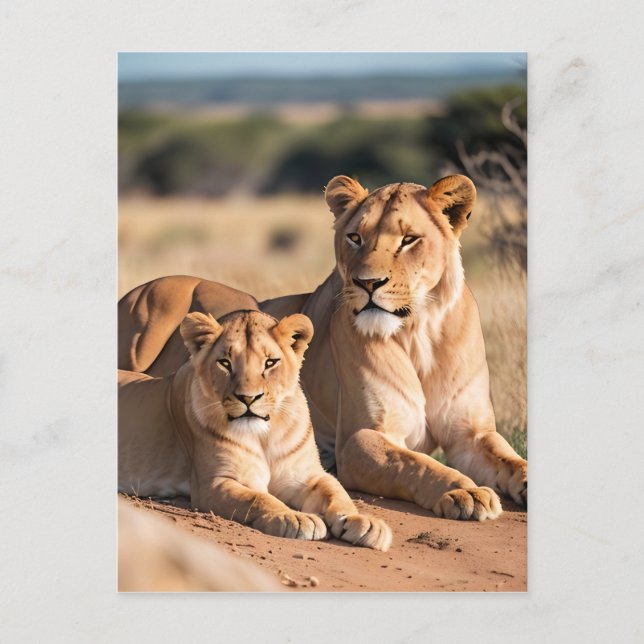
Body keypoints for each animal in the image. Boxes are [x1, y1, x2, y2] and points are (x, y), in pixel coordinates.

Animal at [118, 306, 392, 550]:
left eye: (270, 363)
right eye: (225, 363)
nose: (248, 398)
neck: (265, 435)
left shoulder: (308, 475)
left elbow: (337, 493)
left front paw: (365, 522)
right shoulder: (214, 483)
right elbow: (258, 497)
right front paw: (294, 518)